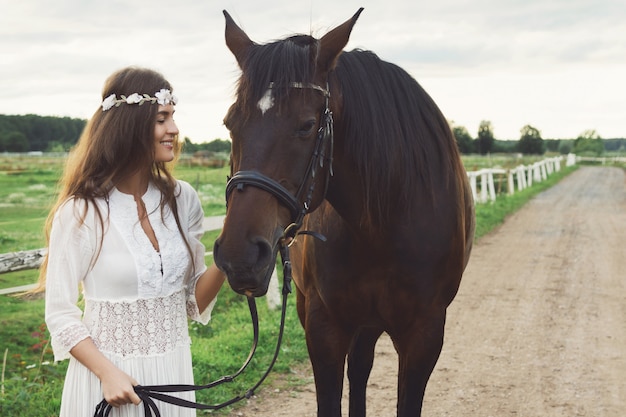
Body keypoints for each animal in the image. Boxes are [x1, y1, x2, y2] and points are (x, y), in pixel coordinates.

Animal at [213, 7, 472, 416]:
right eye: (230, 123)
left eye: (307, 125)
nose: (239, 256)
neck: (382, 227)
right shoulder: (324, 329)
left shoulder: (424, 335)